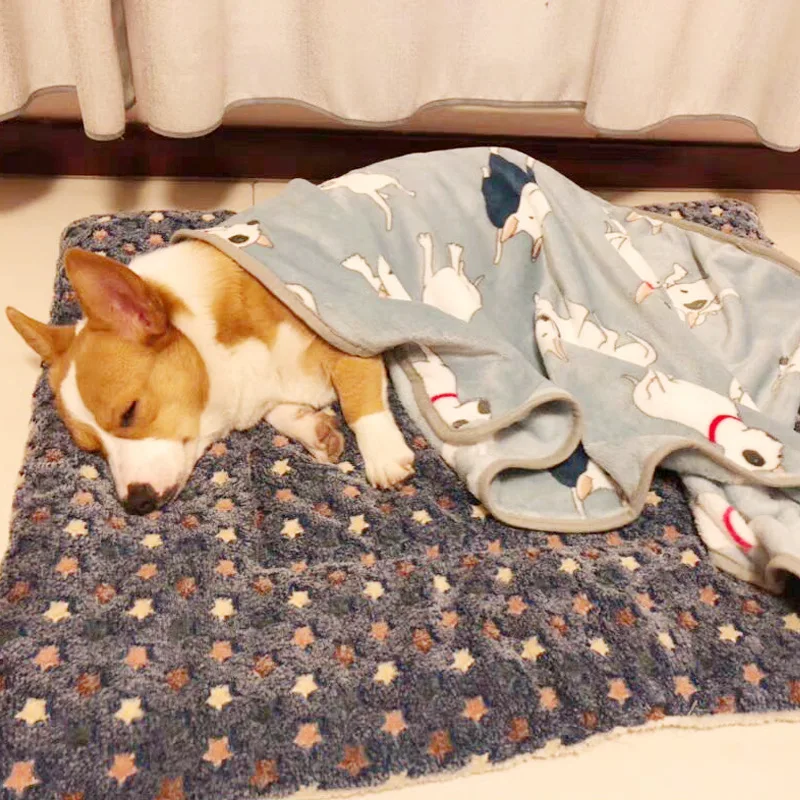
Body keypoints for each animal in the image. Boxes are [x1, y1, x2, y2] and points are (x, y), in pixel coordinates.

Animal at [6, 242, 416, 512]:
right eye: (92, 449)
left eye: (129, 412)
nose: (135, 503)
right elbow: (281, 411)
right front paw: (314, 429)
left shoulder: (351, 339)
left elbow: (360, 402)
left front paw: (384, 457)